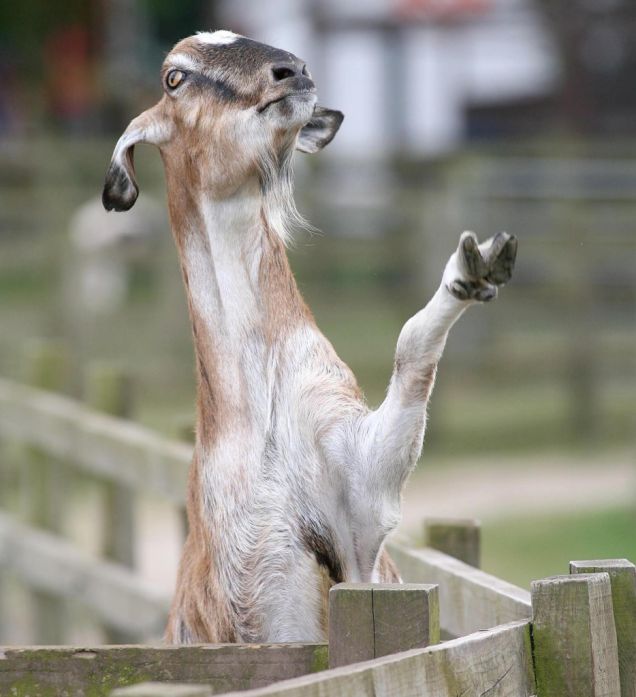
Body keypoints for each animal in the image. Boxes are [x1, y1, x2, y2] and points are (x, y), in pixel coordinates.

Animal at [102, 30, 517, 644]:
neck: (265, 414)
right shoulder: (264, 606)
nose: (292, 70)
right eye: (174, 76)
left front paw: (474, 267)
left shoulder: (361, 501)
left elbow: (411, 346)